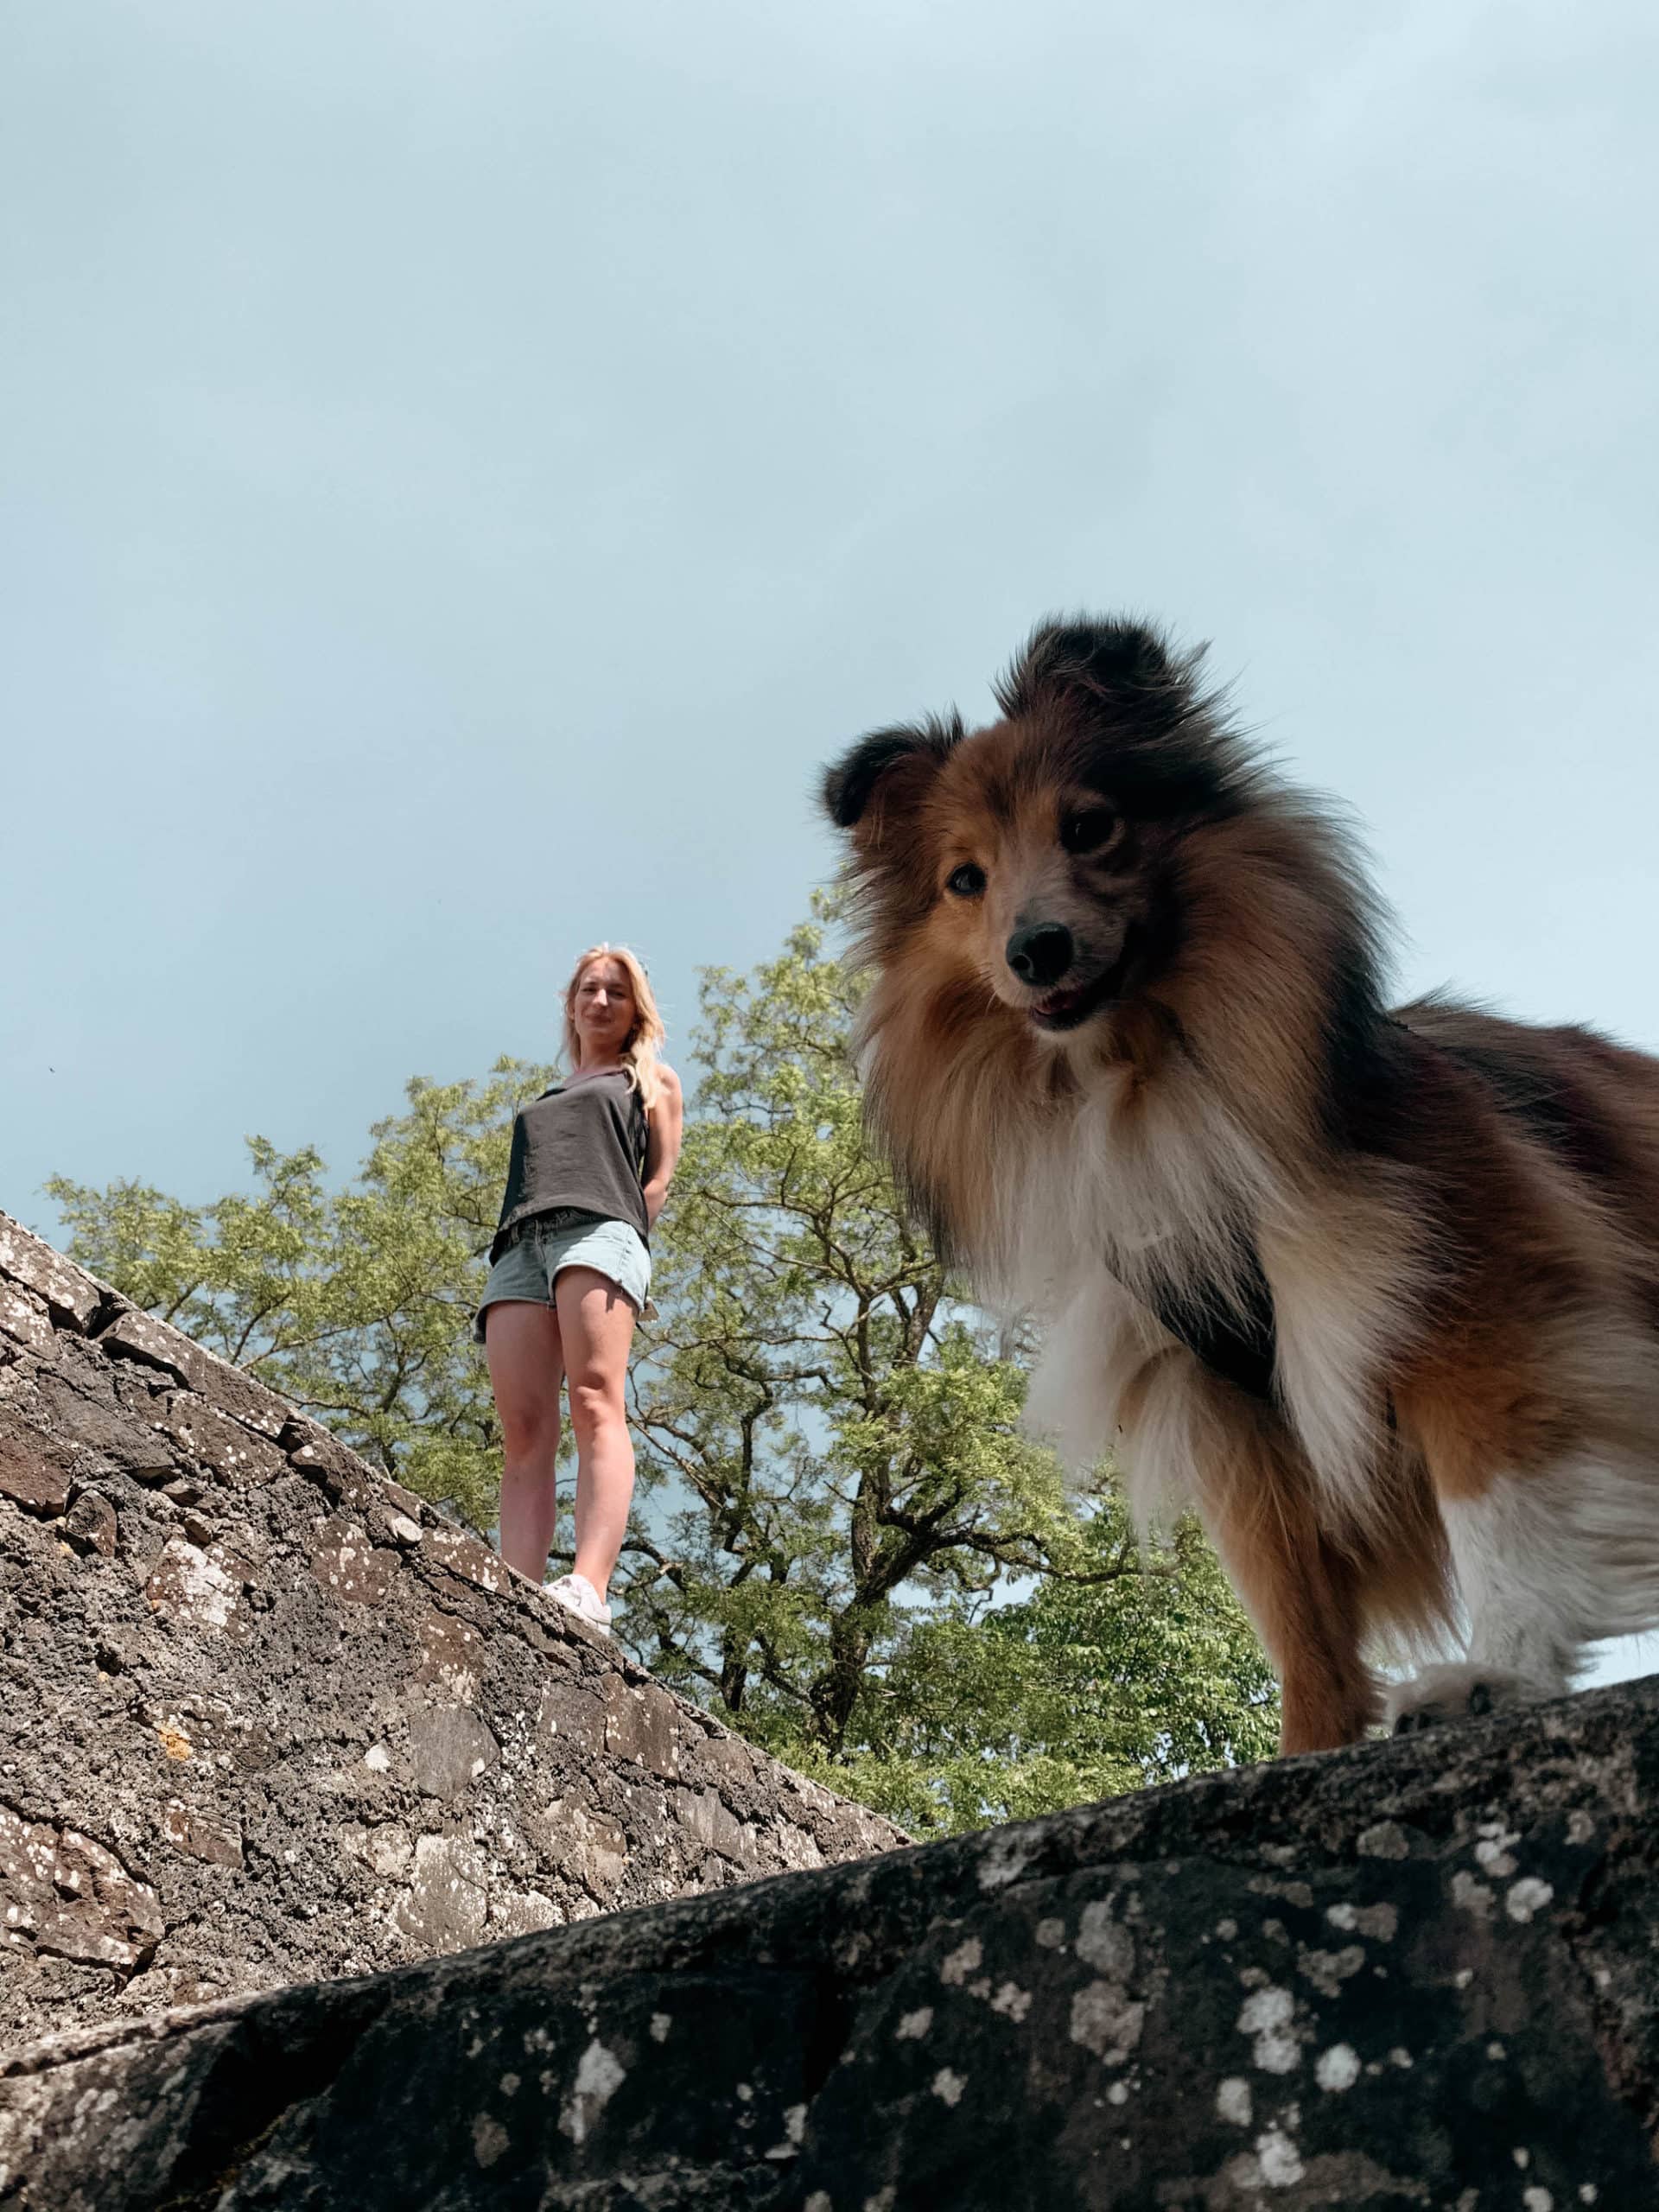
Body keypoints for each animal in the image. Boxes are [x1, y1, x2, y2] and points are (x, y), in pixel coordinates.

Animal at [827, 619, 1659, 1743]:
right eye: (966, 879)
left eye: (1089, 827)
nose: (1036, 950)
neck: (1140, 1082)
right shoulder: (1230, 1408)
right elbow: (1297, 1618)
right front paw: (1309, 1742)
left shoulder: (1483, 1311)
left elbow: (1503, 1517)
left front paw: (1497, 1676)